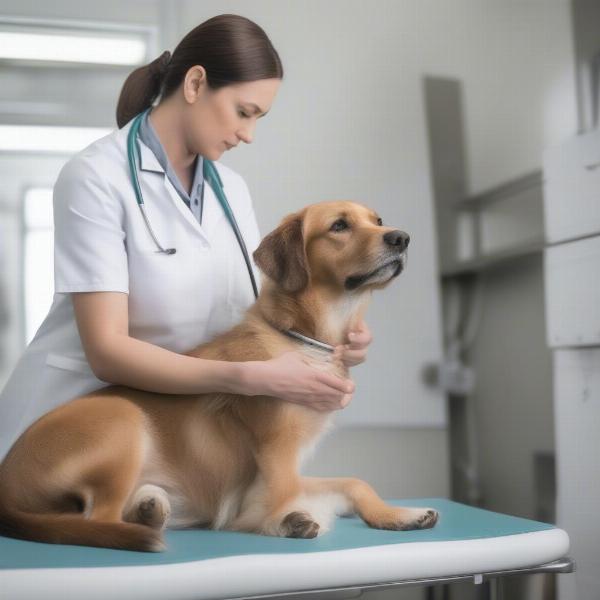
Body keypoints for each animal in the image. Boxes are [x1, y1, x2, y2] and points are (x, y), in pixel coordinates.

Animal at [0, 202, 438, 552]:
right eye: (339, 226)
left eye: (377, 220)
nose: (400, 237)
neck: (302, 338)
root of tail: (6, 487)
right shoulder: (275, 450)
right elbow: (283, 494)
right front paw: (286, 521)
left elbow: (354, 482)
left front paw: (398, 514)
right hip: (122, 416)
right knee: (99, 520)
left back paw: (149, 507)